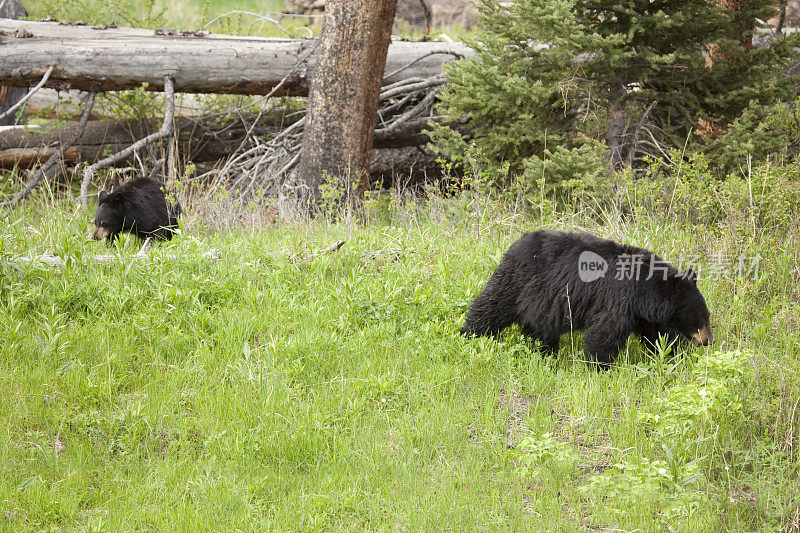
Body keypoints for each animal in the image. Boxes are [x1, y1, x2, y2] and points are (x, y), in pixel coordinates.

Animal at [460, 231, 716, 368]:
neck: (644, 288)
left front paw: (673, 354)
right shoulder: (618, 298)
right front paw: (601, 367)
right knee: (492, 306)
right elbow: (604, 333)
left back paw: (543, 352)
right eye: (700, 318)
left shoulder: (643, 312)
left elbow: (659, 334)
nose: (708, 341)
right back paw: (469, 333)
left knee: (539, 327)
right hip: (516, 281)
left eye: (706, 316)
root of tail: (516, 243)